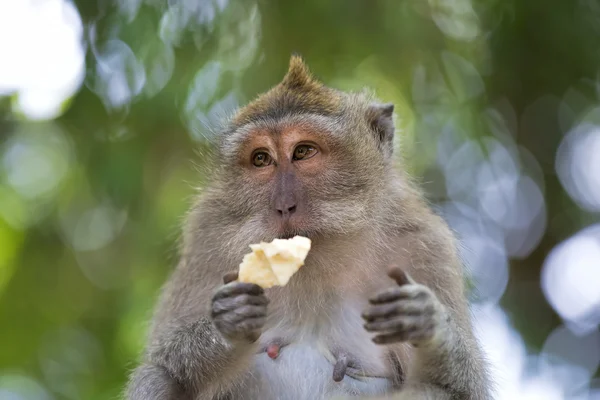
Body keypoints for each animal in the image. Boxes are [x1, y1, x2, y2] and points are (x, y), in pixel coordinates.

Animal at [124, 54, 490, 400]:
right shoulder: (207, 238)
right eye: (261, 158)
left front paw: (426, 322)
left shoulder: (425, 245)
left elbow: (459, 389)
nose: (283, 205)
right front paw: (227, 323)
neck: (312, 263)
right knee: (157, 377)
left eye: (303, 151)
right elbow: (163, 363)